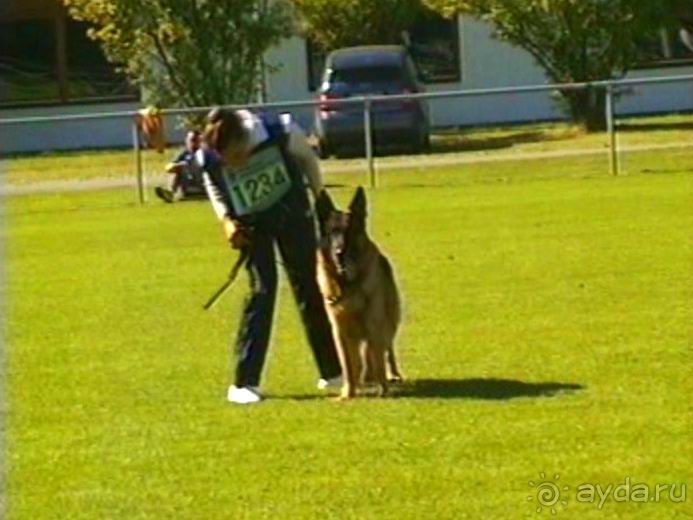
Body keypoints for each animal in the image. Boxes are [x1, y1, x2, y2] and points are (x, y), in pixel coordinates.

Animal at [316, 187, 402, 398]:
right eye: (332, 232)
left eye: (349, 231)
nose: (339, 253)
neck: (348, 284)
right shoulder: (340, 332)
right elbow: (348, 365)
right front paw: (348, 393)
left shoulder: (374, 325)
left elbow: (377, 359)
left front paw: (383, 390)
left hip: (388, 321)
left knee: (386, 350)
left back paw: (392, 375)